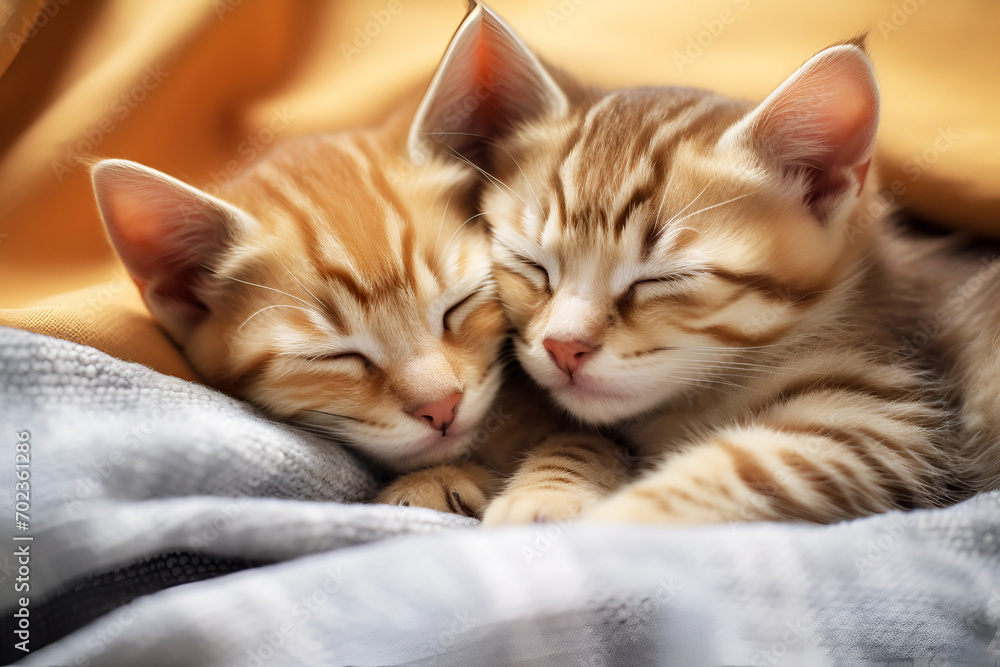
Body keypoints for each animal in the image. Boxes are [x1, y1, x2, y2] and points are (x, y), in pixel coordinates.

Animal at [416, 2, 1000, 524]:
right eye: (531, 264)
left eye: (661, 279)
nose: (564, 347)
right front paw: (541, 490)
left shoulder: (887, 417)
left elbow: (730, 474)